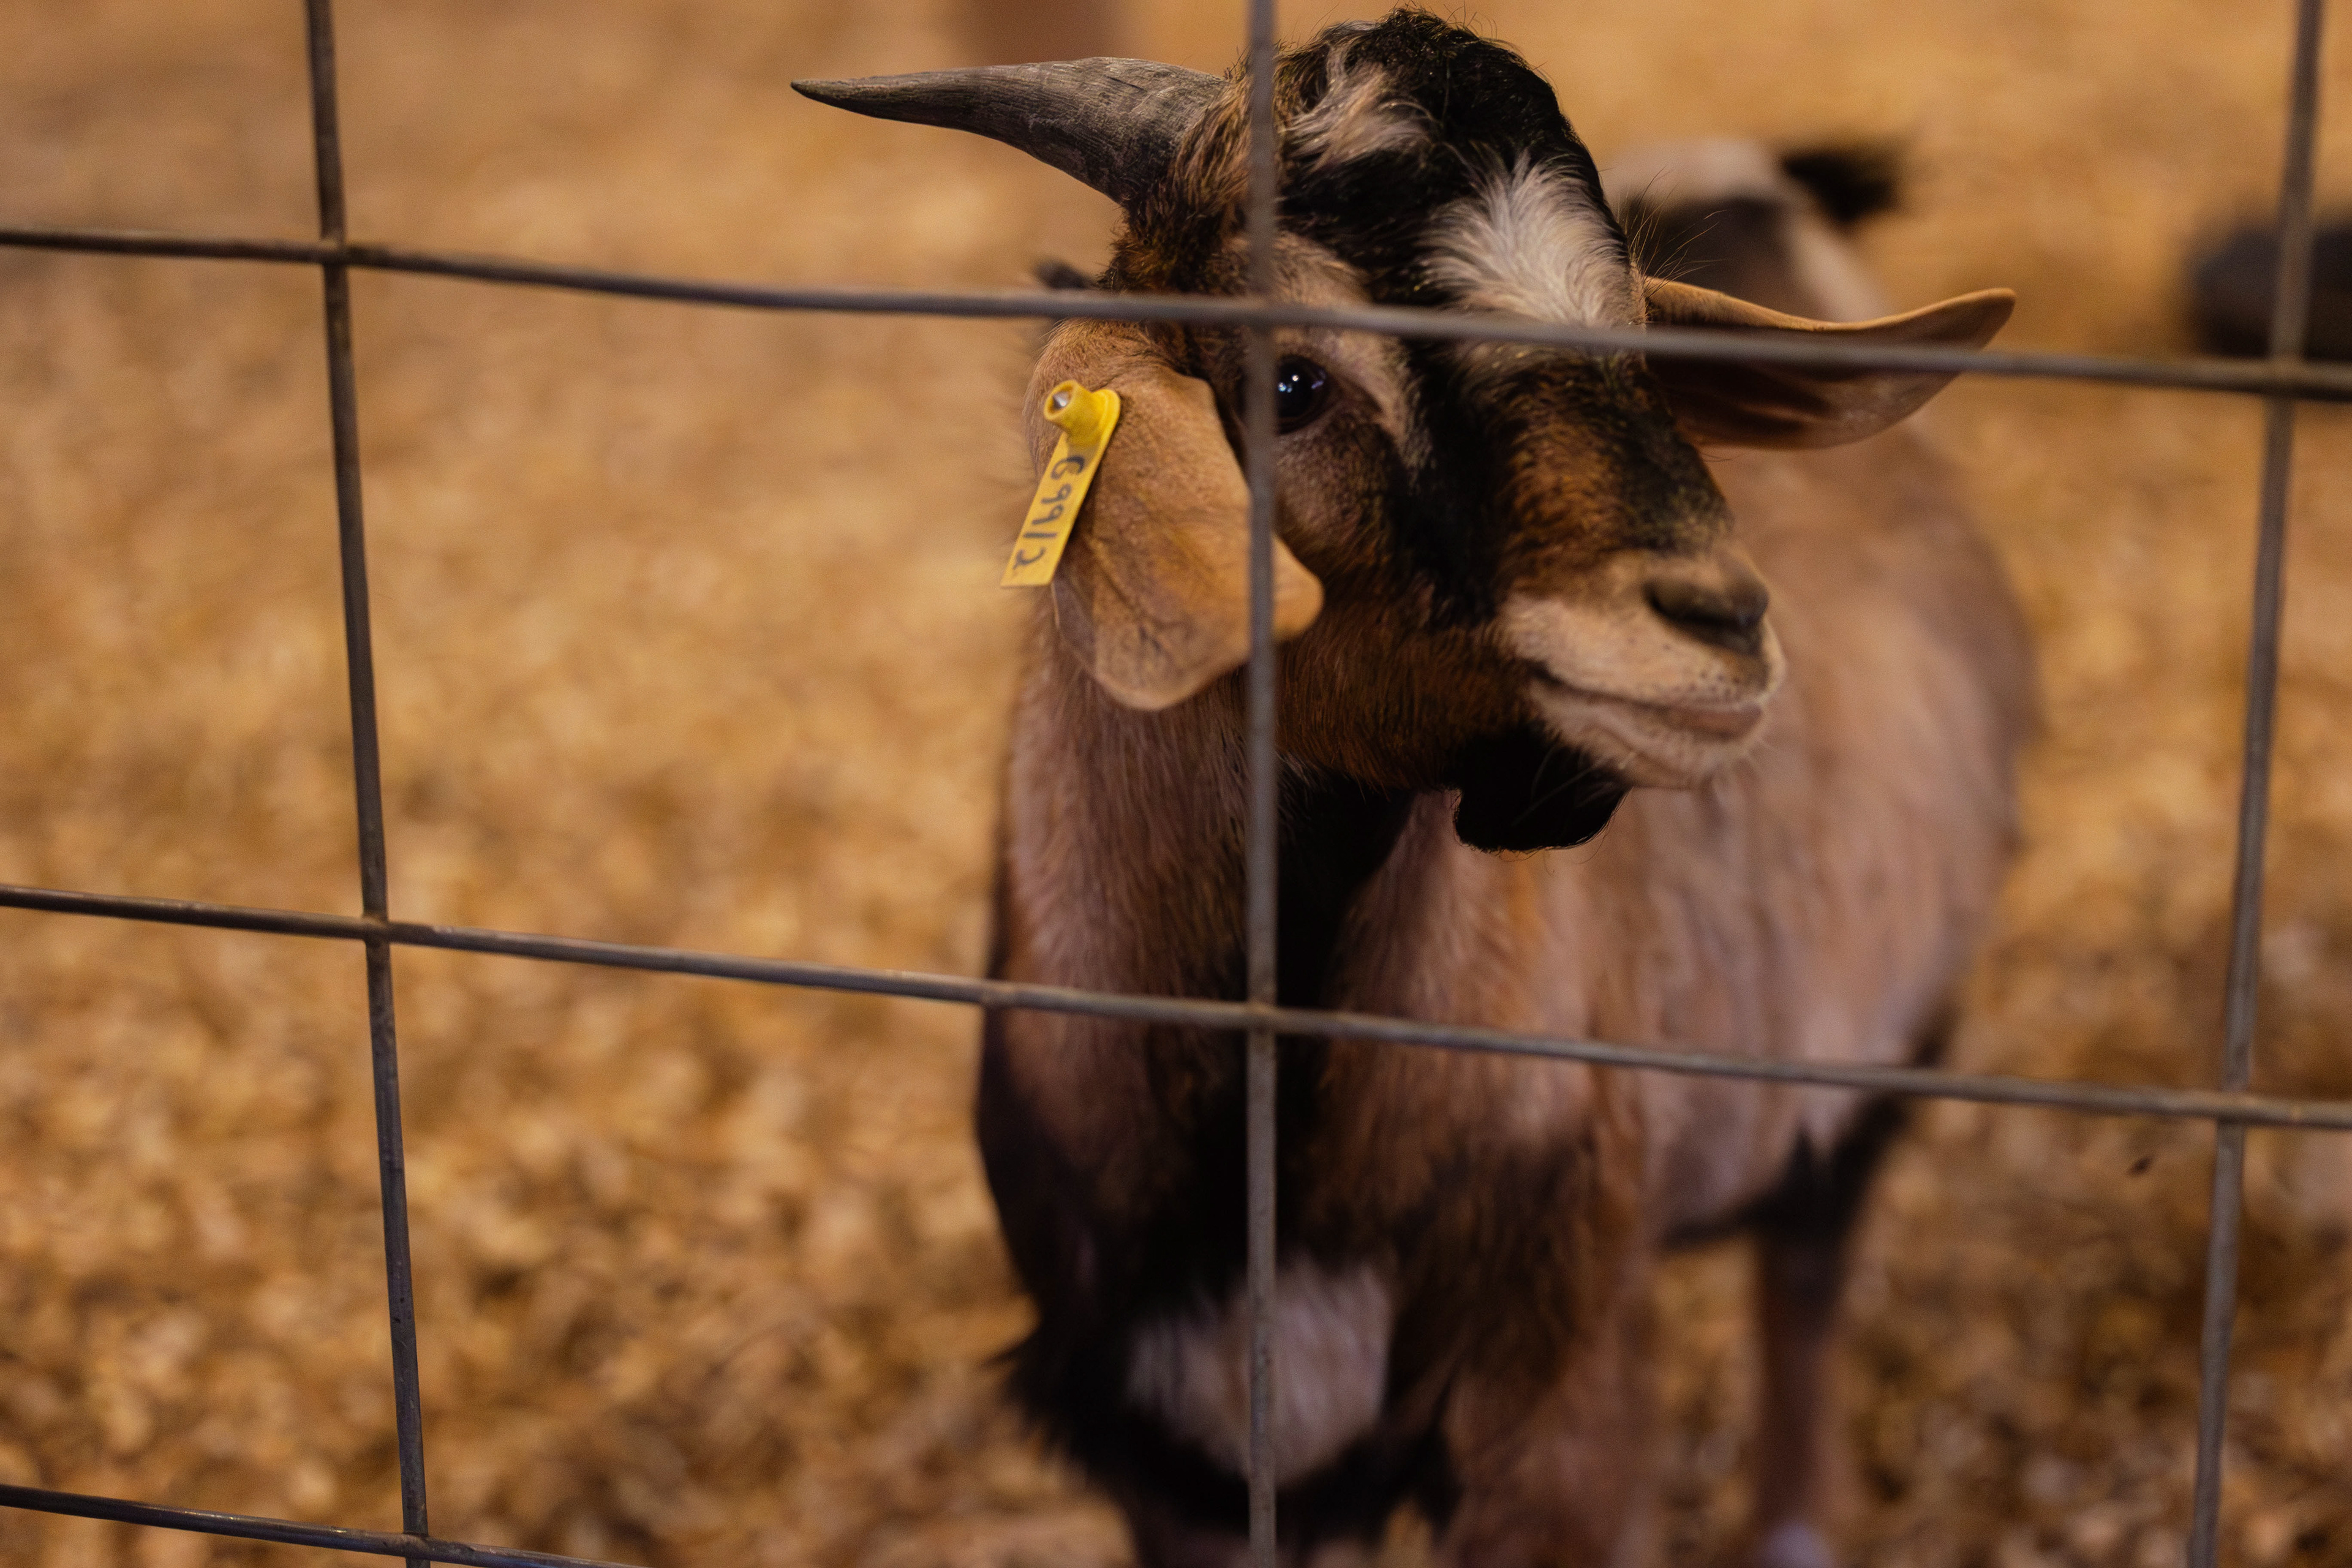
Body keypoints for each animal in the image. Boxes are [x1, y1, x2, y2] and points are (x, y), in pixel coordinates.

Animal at [798, 12, 2033, 1566]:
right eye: (1292, 381)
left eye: (1638, 341)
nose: (1720, 623)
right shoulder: (1178, 1458)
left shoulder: (1557, 1414)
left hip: (1879, 1056)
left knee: (1805, 1278)